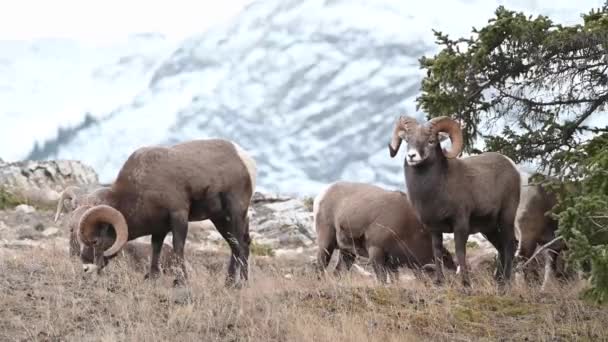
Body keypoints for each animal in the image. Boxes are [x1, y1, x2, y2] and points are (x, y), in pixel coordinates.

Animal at [70, 138, 255, 288]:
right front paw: (152, 279)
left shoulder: (178, 216)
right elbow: (155, 251)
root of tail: (244, 158)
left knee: (240, 244)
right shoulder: (159, 229)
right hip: (220, 219)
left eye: (95, 241)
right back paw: (232, 283)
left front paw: (180, 282)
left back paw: (240, 284)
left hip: (235, 212)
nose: (86, 268)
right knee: (237, 245)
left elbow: (178, 248)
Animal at [314, 182, 456, 284]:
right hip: (327, 243)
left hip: (347, 253)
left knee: (338, 272)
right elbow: (381, 279)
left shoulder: (392, 263)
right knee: (320, 266)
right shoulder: (376, 252)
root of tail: (322, 195)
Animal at [392, 116, 520, 288]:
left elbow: (460, 253)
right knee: (500, 248)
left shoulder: (460, 224)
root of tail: (512, 166)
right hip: (489, 228)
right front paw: (439, 282)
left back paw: (505, 282)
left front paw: (465, 284)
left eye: (431, 141)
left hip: (506, 218)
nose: (412, 156)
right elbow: (437, 253)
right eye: (407, 140)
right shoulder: (434, 229)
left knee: (510, 245)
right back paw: (498, 281)